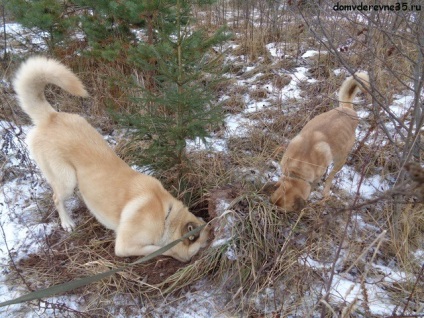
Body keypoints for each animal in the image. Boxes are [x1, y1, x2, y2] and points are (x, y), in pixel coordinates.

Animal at [13, 56, 210, 262]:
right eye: (203, 245)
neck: (166, 214)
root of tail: (50, 117)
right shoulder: (125, 246)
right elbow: (161, 249)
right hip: (66, 181)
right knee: (57, 198)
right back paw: (67, 222)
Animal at [272, 72, 368, 211]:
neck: (299, 165)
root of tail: (348, 109)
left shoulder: (316, 176)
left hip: (340, 159)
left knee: (330, 177)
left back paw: (326, 192)